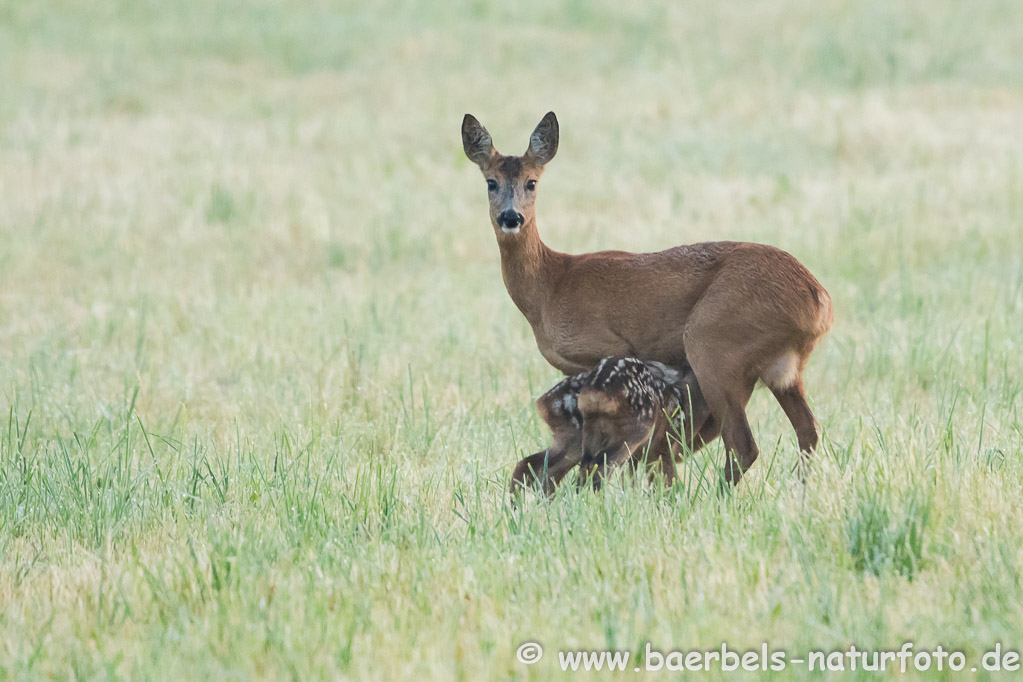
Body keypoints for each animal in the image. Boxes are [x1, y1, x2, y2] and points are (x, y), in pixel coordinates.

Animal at [464, 113, 830, 484]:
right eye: (491, 182)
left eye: (532, 182)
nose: (511, 217)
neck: (551, 286)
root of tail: (818, 301)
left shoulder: (608, 347)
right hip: (782, 369)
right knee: (808, 429)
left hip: (712, 343)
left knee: (742, 445)